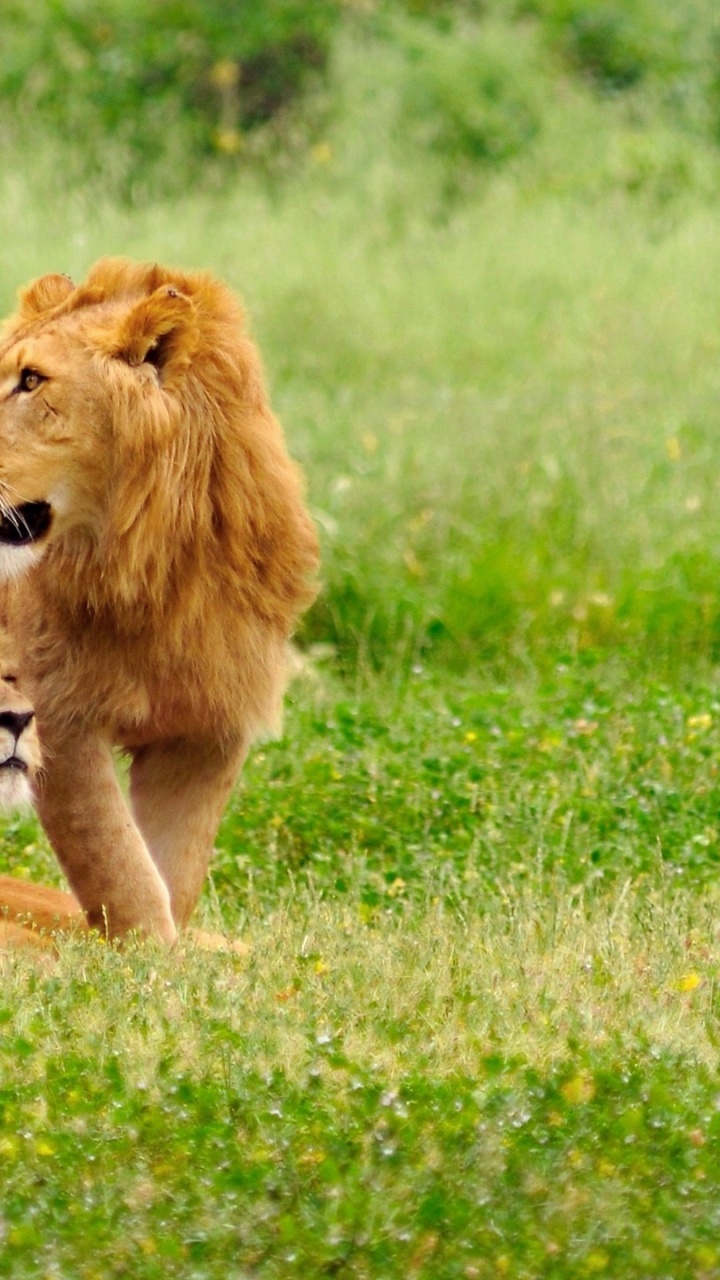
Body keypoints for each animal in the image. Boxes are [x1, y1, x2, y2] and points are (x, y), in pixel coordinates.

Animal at [0, 258, 318, 943]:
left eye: (32, 381)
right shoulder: (61, 717)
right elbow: (122, 873)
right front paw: (148, 961)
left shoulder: (208, 727)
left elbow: (174, 874)